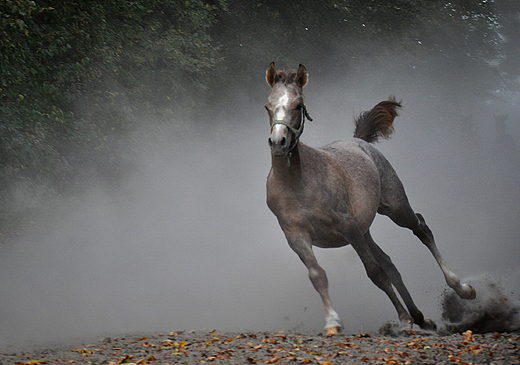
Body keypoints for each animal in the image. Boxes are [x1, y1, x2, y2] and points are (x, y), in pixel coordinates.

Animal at [266, 62, 478, 336]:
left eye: (298, 105)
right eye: (268, 105)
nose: (278, 143)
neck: (298, 183)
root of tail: (359, 140)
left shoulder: (348, 227)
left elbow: (375, 273)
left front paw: (403, 319)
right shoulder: (297, 235)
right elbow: (317, 275)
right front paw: (332, 323)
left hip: (394, 209)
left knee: (420, 228)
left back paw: (460, 289)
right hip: (365, 229)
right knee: (391, 263)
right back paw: (421, 318)